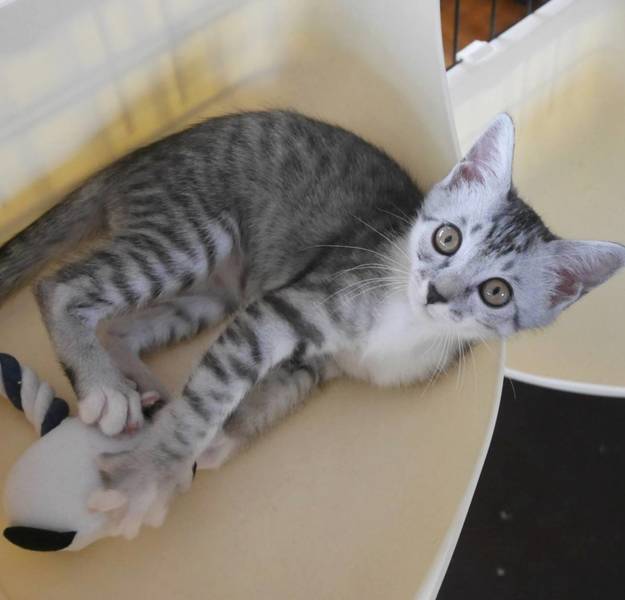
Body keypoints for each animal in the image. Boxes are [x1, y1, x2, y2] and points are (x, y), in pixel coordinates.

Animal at [0, 110, 623, 537]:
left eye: (497, 292)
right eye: (448, 237)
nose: (437, 291)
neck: (405, 323)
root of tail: (134, 156)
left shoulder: (313, 365)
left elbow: (265, 399)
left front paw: (216, 440)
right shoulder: (280, 310)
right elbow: (208, 399)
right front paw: (151, 474)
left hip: (211, 295)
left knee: (121, 326)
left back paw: (140, 386)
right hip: (191, 234)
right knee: (61, 286)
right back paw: (104, 387)